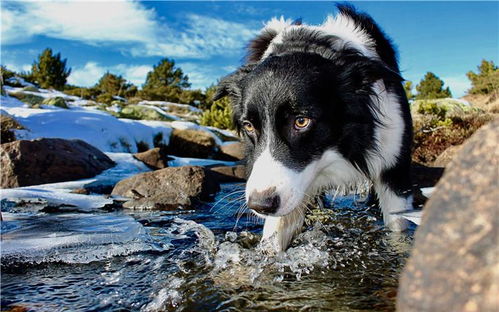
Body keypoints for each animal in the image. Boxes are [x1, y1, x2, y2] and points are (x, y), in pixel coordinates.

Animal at [215, 3, 414, 251]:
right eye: (249, 126)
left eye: (301, 121)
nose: (260, 205)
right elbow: (274, 236)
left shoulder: (393, 163)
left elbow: (398, 228)